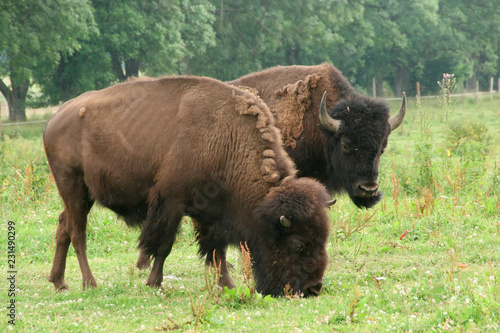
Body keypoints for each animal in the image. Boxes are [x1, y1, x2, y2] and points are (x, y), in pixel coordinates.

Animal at [43, 75, 332, 296]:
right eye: (298, 245)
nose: (313, 288)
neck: (227, 139)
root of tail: (52, 121)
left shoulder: (212, 214)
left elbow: (216, 250)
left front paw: (227, 285)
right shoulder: (171, 203)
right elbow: (164, 246)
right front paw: (154, 282)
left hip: (84, 193)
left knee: (63, 226)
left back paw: (59, 282)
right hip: (72, 183)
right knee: (77, 232)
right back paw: (89, 283)